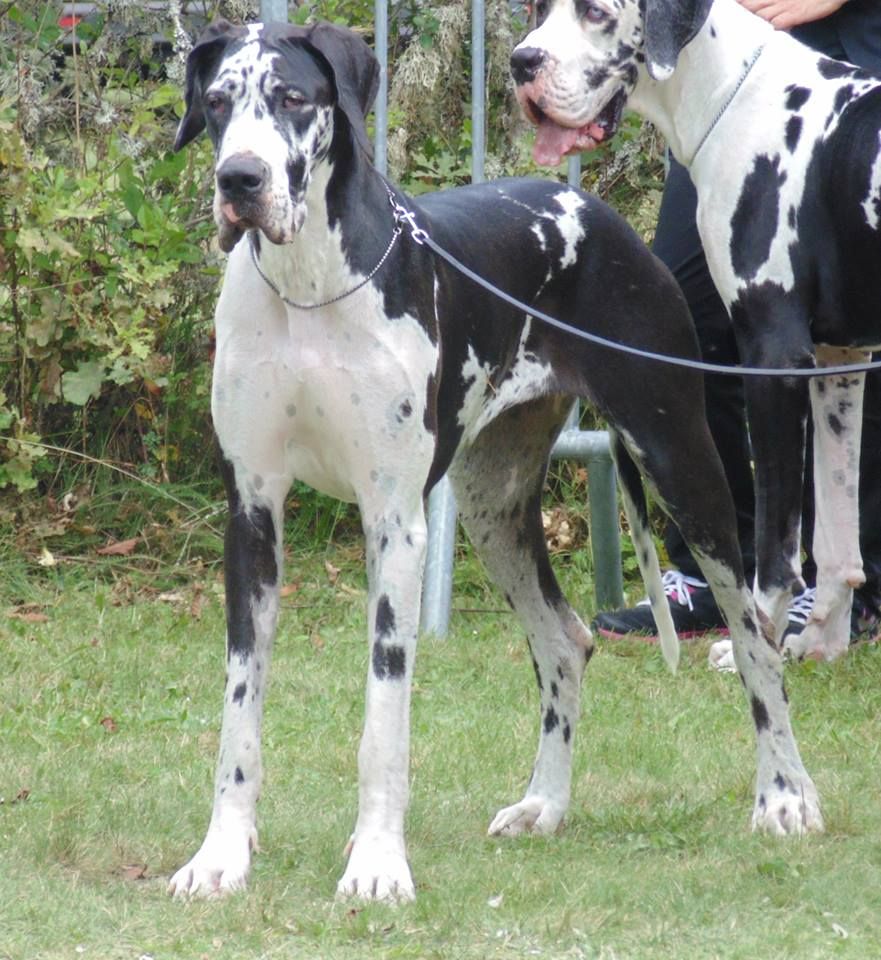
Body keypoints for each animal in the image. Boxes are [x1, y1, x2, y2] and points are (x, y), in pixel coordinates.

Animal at [167, 19, 820, 902]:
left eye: (293, 98)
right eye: (216, 100)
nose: (240, 178)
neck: (310, 286)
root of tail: (585, 202)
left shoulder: (396, 524)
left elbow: (384, 714)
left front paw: (376, 864)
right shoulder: (252, 516)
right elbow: (240, 710)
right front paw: (221, 856)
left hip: (685, 464)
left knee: (754, 634)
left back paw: (782, 793)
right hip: (492, 509)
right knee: (564, 641)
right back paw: (545, 803)